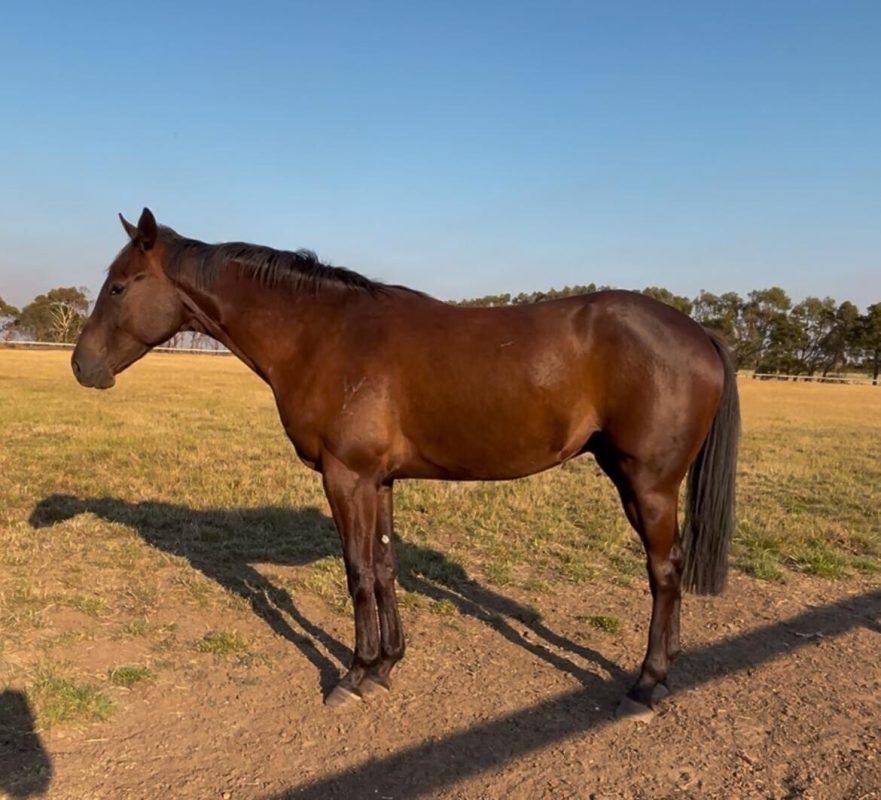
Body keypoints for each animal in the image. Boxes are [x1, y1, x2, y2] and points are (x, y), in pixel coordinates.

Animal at [72, 206, 740, 712]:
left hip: (647, 484)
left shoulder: (346, 478)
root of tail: (697, 331)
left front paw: (355, 674)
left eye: (120, 286)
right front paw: (388, 664)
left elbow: (358, 574)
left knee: (664, 573)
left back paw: (647, 684)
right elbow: (386, 568)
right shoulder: (380, 481)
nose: (82, 366)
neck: (322, 335)